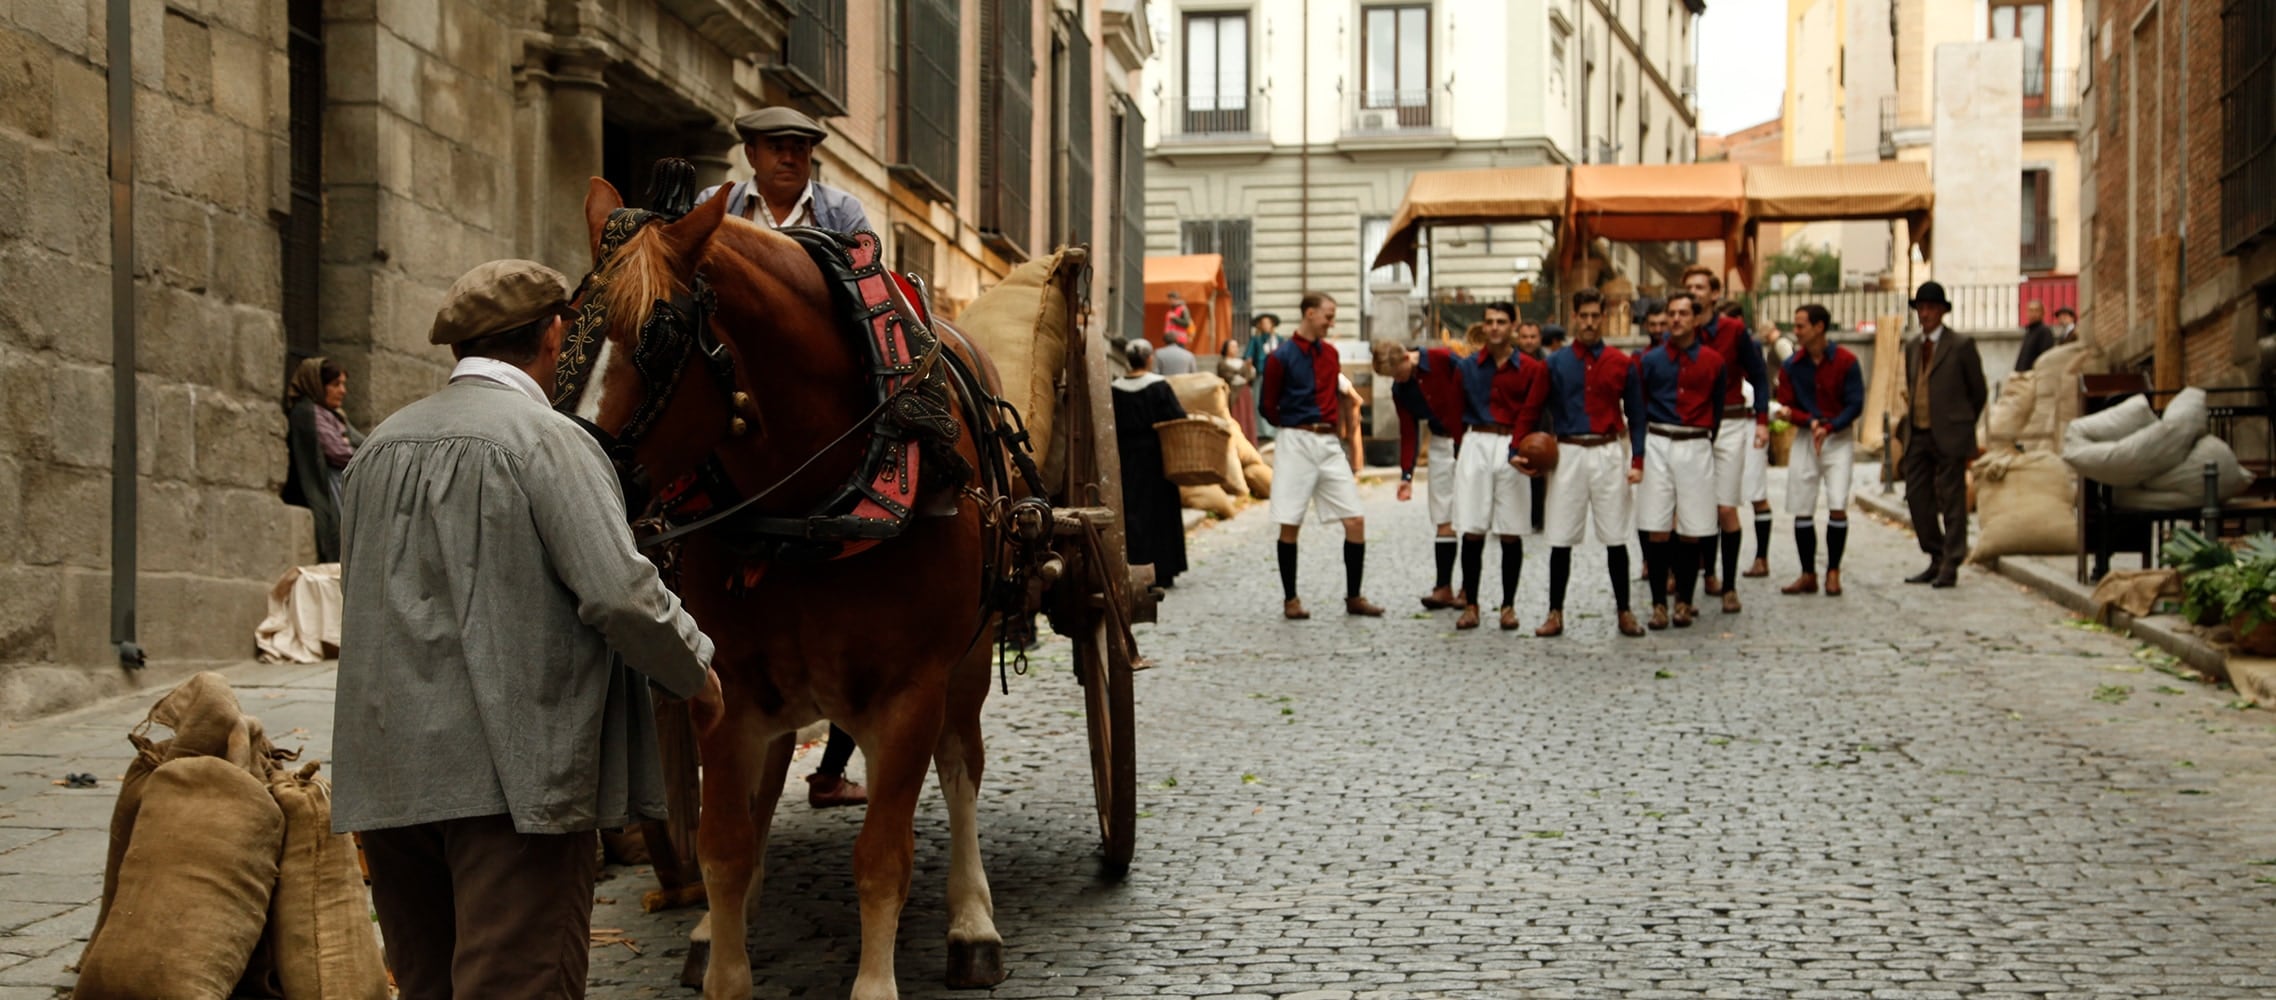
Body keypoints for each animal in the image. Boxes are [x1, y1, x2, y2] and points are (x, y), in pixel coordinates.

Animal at [564, 182, 1010, 1000]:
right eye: (568, 321)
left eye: (657, 339)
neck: (809, 511)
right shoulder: (725, 683)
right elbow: (724, 844)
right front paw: (723, 952)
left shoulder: (911, 693)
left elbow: (883, 857)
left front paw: (878, 979)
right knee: (766, 787)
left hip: (970, 656)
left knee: (962, 763)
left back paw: (971, 921)